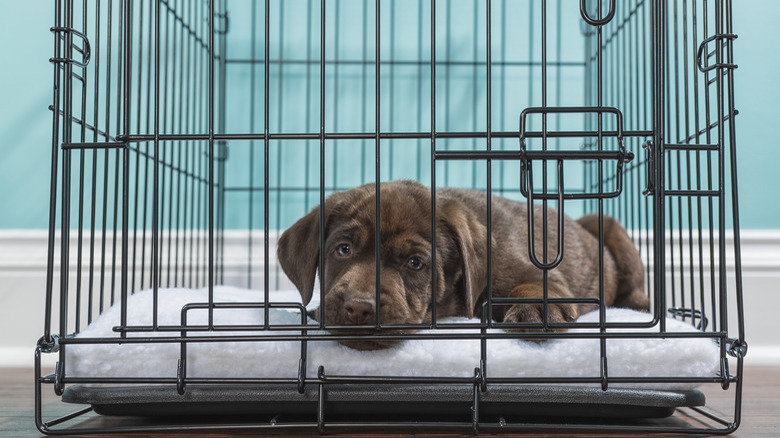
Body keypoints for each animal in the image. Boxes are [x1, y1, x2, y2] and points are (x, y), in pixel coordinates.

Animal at [278, 179, 648, 350]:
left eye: (415, 263)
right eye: (343, 249)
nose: (358, 308)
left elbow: (538, 283)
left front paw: (536, 308)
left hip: (606, 223)